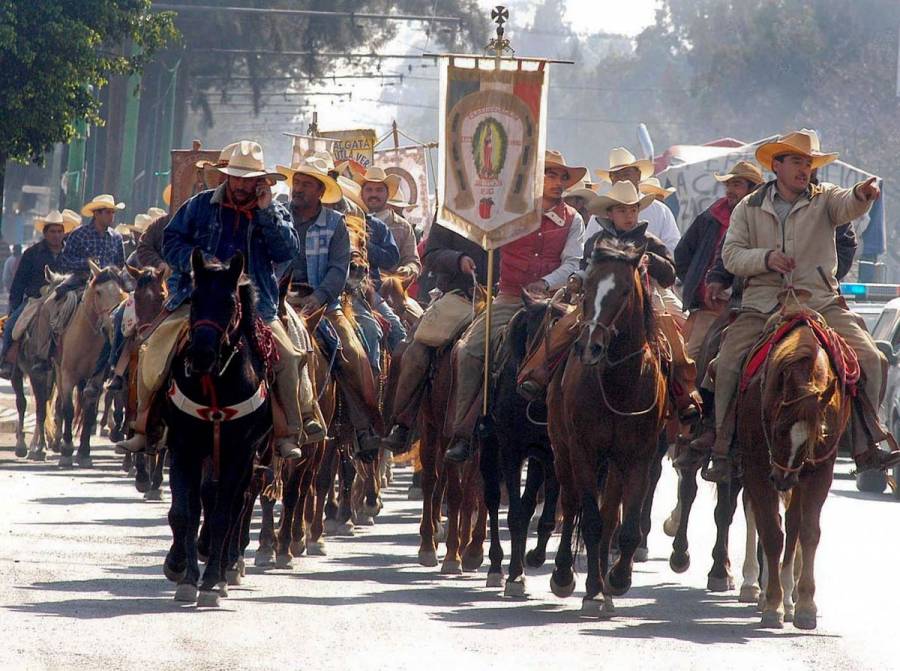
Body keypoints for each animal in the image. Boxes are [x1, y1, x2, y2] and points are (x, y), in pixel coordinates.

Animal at [53, 262, 126, 468]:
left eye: (121, 292)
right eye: (99, 292)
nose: (110, 325)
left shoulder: (97, 377)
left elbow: (90, 409)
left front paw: (84, 452)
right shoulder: (67, 375)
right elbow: (68, 410)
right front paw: (67, 450)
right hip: (58, 371)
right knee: (60, 403)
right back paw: (57, 442)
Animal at [163, 249, 272, 608]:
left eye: (229, 302)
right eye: (194, 298)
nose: (201, 354)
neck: (214, 384)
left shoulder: (240, 454)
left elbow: (225, 513)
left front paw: (211, 581)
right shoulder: (183, 447)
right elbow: (184, 511)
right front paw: (182, 570)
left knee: (234, 505)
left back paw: (225, 569)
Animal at [482, 294, 560, 600]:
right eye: (531, 336)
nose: (527, 383)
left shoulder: (549, 455)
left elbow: (539, 514)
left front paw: (535, 557)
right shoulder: (511, 451)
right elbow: (514, 514)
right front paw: (515, 575)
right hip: (490, 448)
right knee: (492, 499)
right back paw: (495, 566)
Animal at [548, 239, 668, 616]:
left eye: (626, 290)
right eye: (586, 287)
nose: (589, 347)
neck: (619, 383)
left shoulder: (640, 458)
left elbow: (624, 527)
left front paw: (616, 580)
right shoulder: (584, 453)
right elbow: (590, 520)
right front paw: (588, 587)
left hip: (614, 465)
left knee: (610, 511)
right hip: (562, 451)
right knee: (571, 503)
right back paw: (567, 576)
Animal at [736, 316, 848, 632]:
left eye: (816, 436)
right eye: (776, 430)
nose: (783, 479)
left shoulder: (819, 470)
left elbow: (807, 532)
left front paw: (805, 605)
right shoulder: (757, 468)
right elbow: (772, 533)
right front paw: (773, 603)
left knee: (793, 523)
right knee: (757, 517)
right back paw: (759, 588)